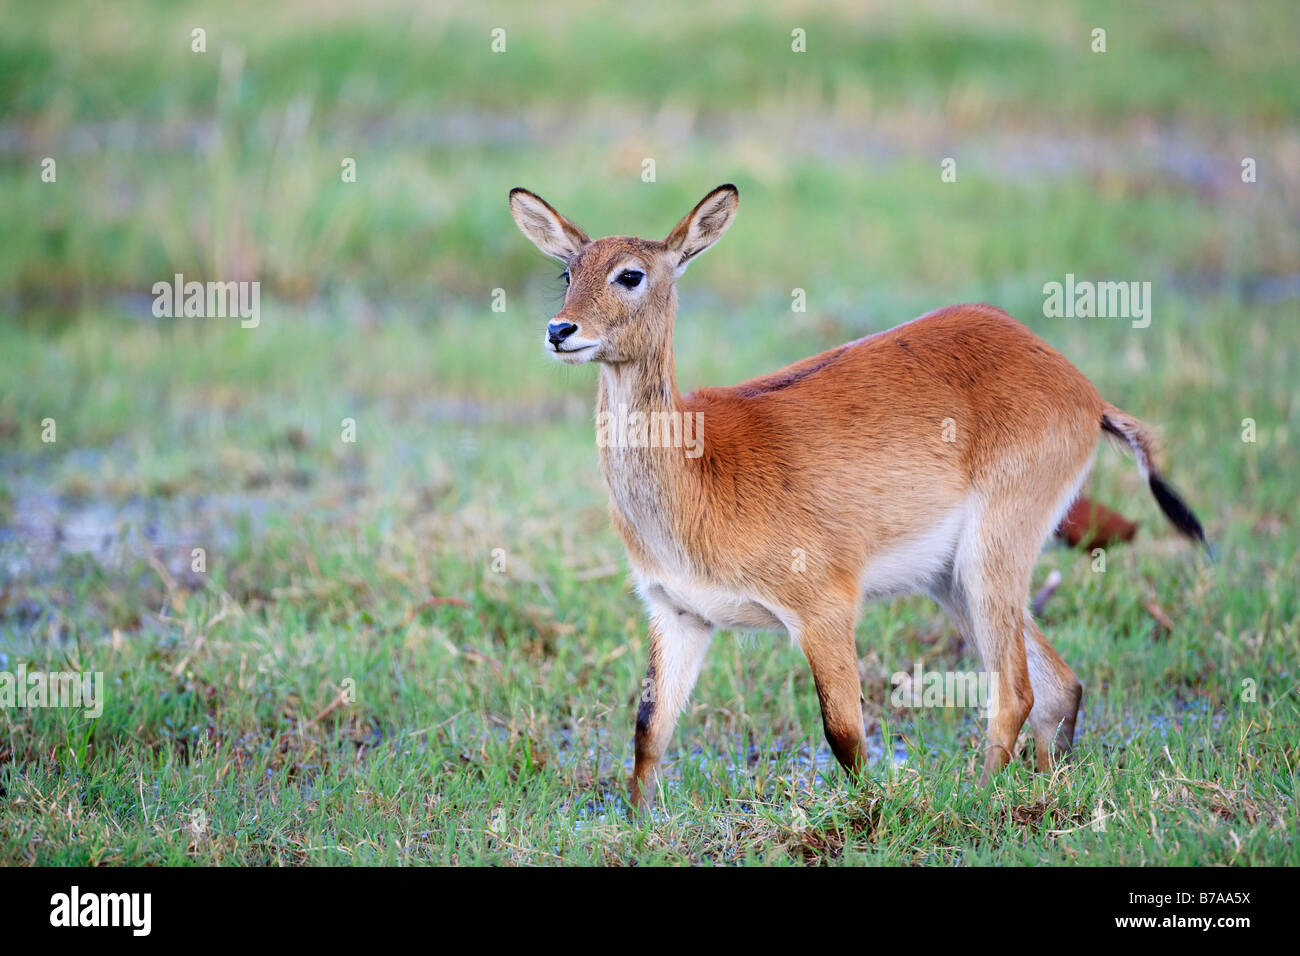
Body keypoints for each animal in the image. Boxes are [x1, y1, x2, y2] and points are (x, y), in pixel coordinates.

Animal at [506, 184, 1206, 806]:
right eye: (568, 269)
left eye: (630, 274)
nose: (560, 329)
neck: (696, 473)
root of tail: (1082, 388)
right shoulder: (678, 613)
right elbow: (649, 733)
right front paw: (639, 825)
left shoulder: (823, 607)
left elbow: (844, 735)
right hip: (951, 578)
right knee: (1061, 686)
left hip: (992, 556)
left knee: (1016, 690)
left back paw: (979, 800)